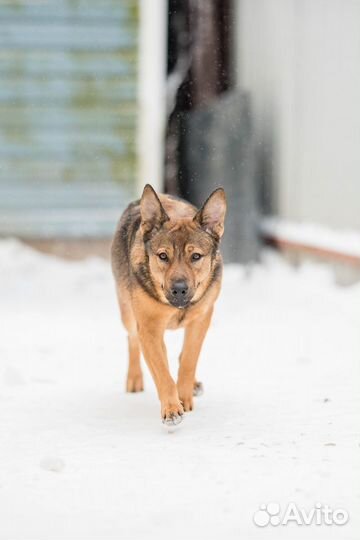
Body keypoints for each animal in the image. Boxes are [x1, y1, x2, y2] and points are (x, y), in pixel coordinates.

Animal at [111, 186, 226, 426]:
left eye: (196, 256)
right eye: (163, 256)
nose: (179, 289)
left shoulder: (202, 318)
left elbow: (189, 359)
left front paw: (184, 395)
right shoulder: (149, 328)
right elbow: (162, 371)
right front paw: (172, 408)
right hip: (128, 313)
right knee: (133, 338)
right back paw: (134, 377)